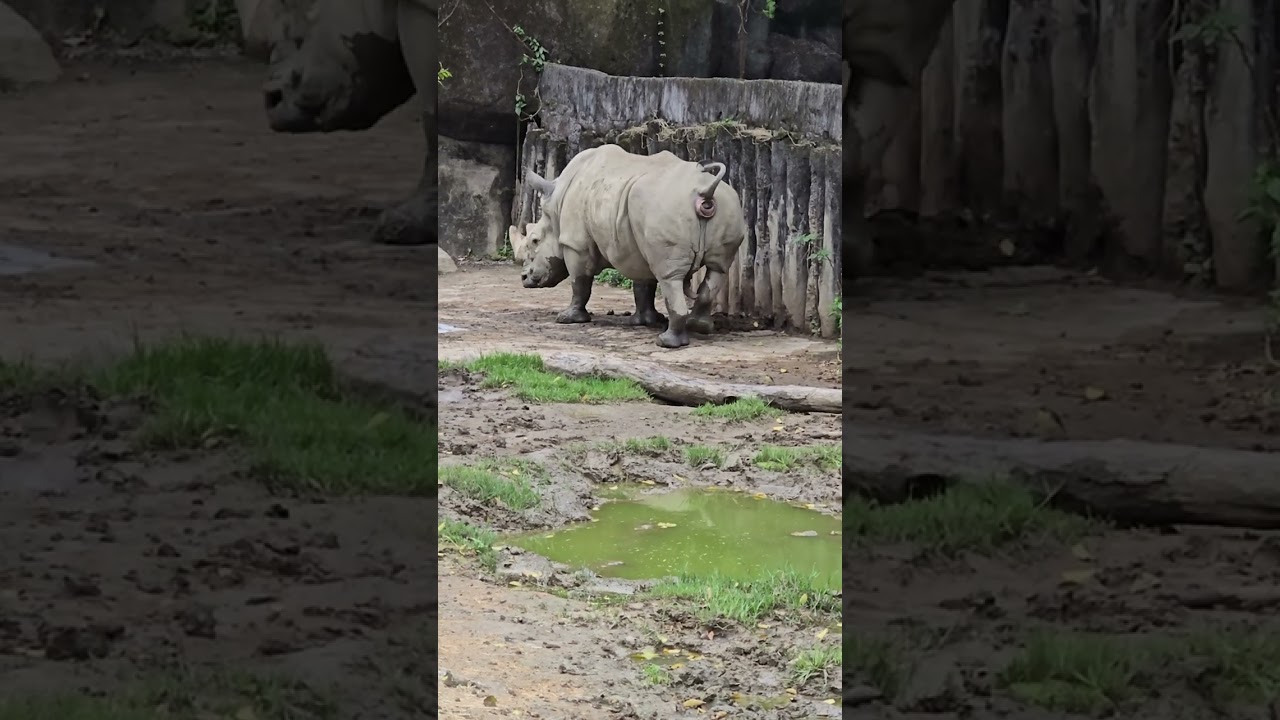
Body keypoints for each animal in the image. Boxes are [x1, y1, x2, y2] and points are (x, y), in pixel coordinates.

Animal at [508, 144, 747, 349]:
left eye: (535, 241)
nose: (524, 278)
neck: (555, 207)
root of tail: (705, 193)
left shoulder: (576, 244)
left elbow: (580, 282)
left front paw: (568, 319)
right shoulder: (637, 244)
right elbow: (643, 284)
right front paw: (644, 321)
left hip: (666, 209)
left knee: (670, 277)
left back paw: (666, 342)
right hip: (727, 205)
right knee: (718, 269)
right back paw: (699, 327)